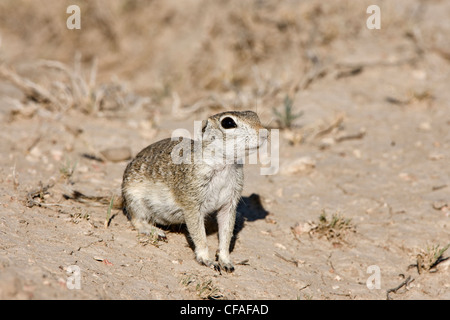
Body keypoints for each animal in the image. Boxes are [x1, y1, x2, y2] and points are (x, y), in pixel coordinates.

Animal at [121, 110, 266, 272]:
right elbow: (199, 233)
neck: (224, 165)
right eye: (228, 123)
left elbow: (226, 233)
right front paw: (206, 259)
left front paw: (225, 260)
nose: (264, 132)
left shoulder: (229, 203)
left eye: (254, 115)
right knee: (136, 219)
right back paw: (154, 231)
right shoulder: (192, 202)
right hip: (134, 199)